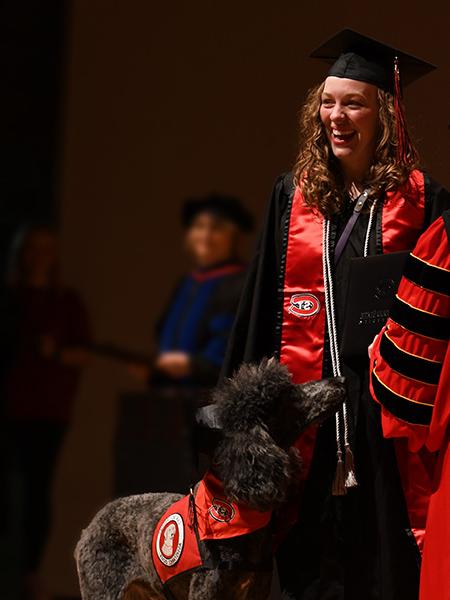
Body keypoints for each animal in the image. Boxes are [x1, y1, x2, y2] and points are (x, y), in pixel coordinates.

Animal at [74, 358, 344, 600]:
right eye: (288, 394)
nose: (340, 380)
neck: (236, 506)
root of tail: (90, 527)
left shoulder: (256, 589)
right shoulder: (207, 590)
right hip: (103, 588)